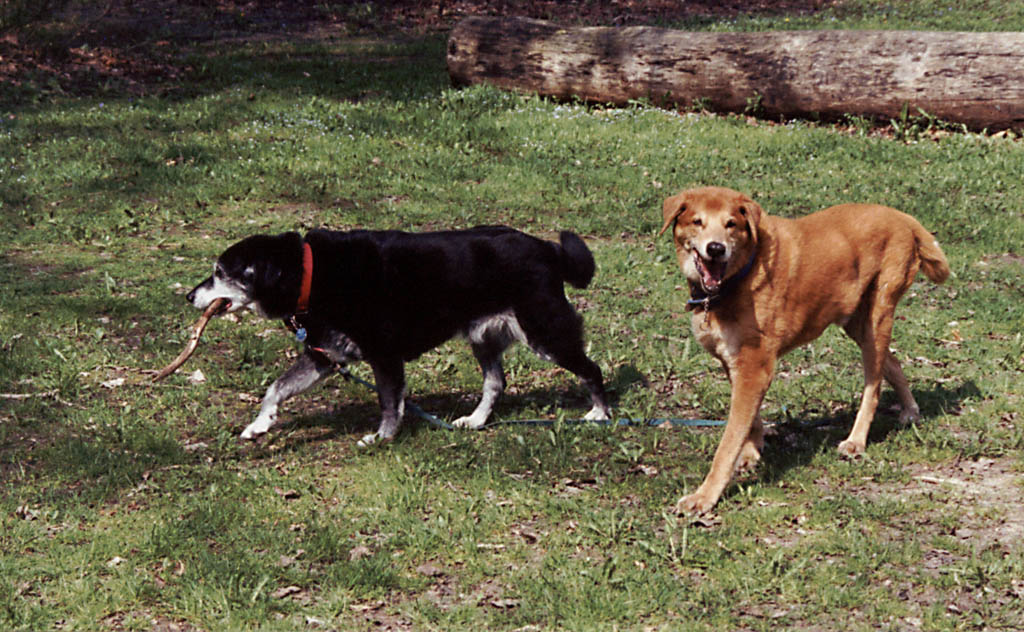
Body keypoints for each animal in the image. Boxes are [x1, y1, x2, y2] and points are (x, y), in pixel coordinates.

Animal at [186, 226, 606, 444]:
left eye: (221, 272)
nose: (189, 295)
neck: (310, 274)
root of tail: (548, 249)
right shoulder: (324, 356)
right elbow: (276, 388)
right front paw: (260, 424)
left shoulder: (383, 356)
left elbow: (390, 403)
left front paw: (383, 438)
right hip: (483, 339)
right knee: (495, 383)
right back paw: (475, 421)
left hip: (546, 333)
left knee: (593, 369)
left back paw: (600, 414)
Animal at [659, 186, 946, 512]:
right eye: (697, 221)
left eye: (731, 224)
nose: (716, 248)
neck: (743, 273)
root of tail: (903, 217)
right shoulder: (735, 363)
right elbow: (748, 422)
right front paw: (752, 452)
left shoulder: (755, 367)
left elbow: (727, 443)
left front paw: (704, 497)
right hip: (856, 322)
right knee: (893, 362)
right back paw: (910, 410)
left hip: (878, 316)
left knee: (873, 388)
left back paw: (857, 440)